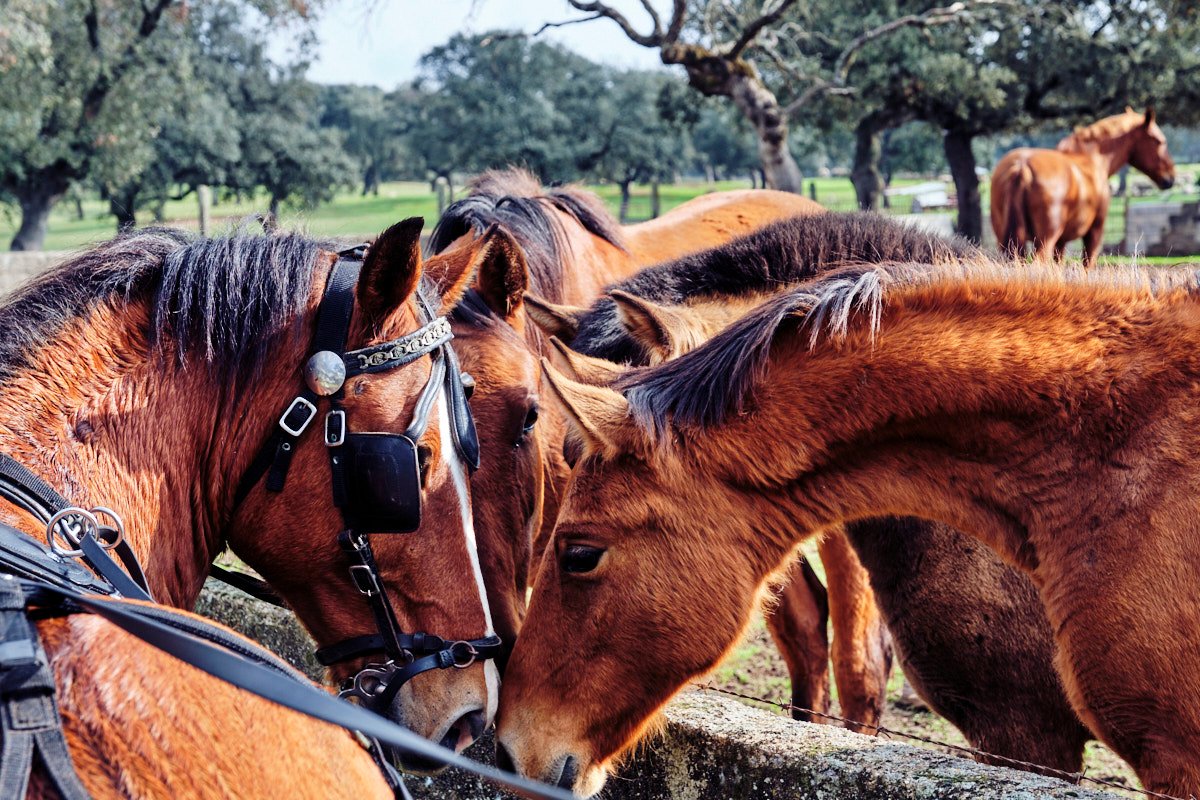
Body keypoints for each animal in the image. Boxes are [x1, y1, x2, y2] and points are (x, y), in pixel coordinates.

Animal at [988, 107, 1176, 266]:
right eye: (1159, 141)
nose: (1170, 177)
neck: (1091, 159)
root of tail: (1022, 167)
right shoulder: (1094, 233)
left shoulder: (1061, 242)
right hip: (1044, 240)